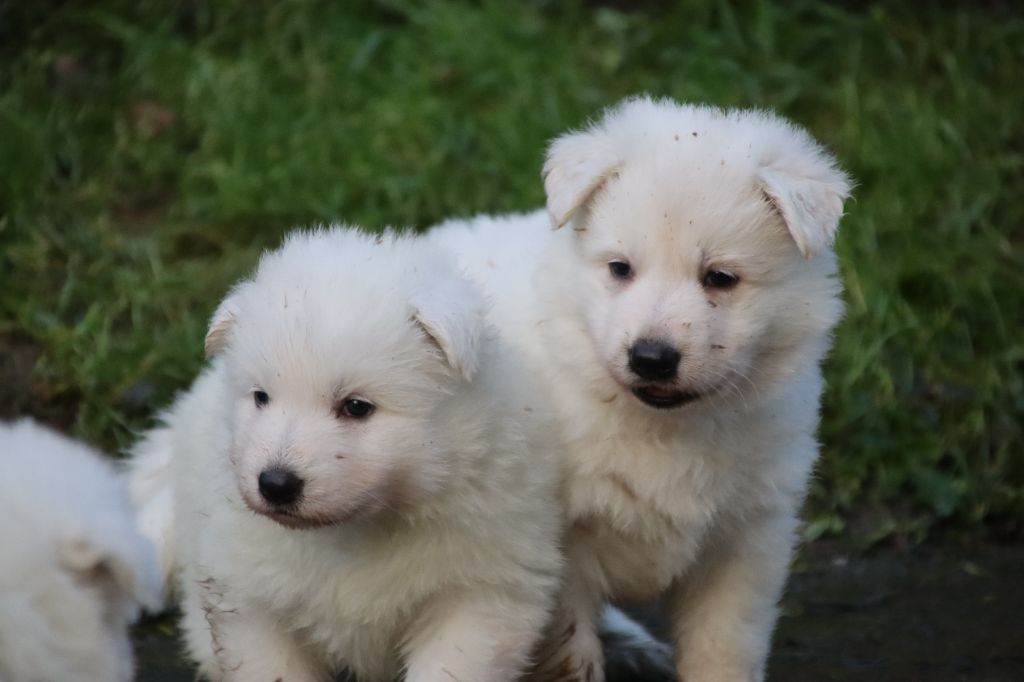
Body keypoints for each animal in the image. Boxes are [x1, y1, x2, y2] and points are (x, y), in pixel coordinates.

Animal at [155, 228, 565, 679]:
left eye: (356, 406)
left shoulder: (479, 592)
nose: (275, 484)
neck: (359, 530)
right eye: (261, 397)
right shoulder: (250, 597)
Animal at [434, 95, 856, 679]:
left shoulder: (746, 537)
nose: (651, 358)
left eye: (720, 278)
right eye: (620, 269)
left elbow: (724, 647)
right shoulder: (558, 548)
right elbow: (571, 652)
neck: (664, 426)